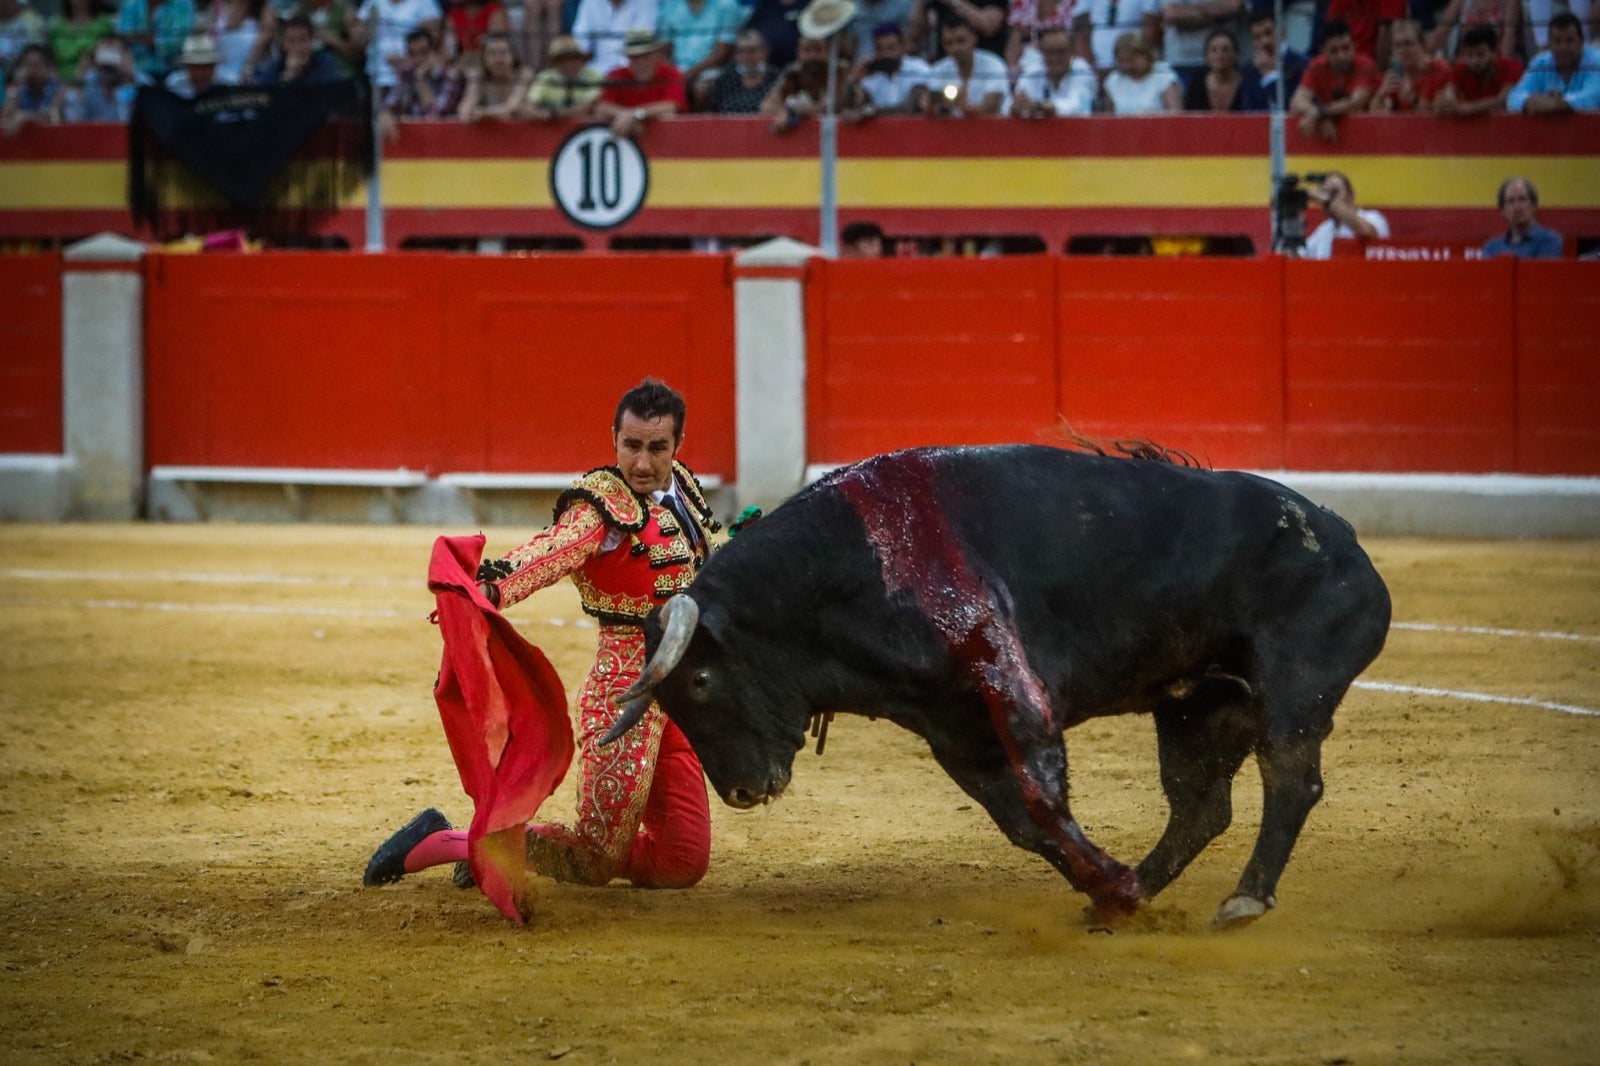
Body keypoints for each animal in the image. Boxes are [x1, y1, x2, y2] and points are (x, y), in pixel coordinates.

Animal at [601, 444, 1388, 928]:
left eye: (703, 679)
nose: (740, 791)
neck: (844, 572)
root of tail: (1345, 539)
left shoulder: (1007, 683)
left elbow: (1040, 795)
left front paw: (1108, 883)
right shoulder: (957, 730)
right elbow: (1021, 821)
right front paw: (1109, 889)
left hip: (1294, 686)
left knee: (1290, 779)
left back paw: (1245, 900)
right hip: (1198, 704)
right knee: (1201, 806)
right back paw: (1139, 890)